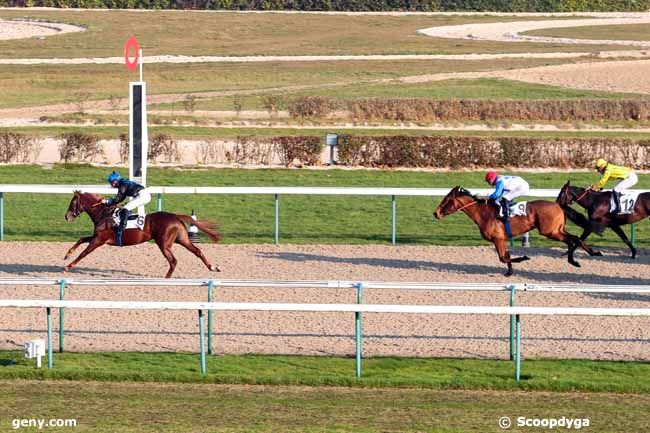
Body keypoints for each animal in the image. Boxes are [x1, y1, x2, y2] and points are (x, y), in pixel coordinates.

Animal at [64, 190, 220, 276]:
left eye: (72, 203)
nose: (67, 217)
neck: (104, 215)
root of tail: (175, 216)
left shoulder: (99, 240)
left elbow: (84, 253)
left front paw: (68, 266)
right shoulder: (96, 237)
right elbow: (81, 239)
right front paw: (67, 255)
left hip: (164, 243)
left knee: (173, 261)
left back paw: (166, 279)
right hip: (181, 239)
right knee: (197, 251)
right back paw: (213, 267)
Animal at [432, 185, 600, 274]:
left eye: (447, 200)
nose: (436, 213)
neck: (483, 213)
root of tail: (558, 204)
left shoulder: (498, 238)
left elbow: (503, 257)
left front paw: (523, 258)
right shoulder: (501, 239)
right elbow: (505, 256)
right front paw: (510, 271)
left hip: (550, 231)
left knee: (574, 239)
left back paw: (586, 255)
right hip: (556, 230)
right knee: (573, 239)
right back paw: (581, 257)